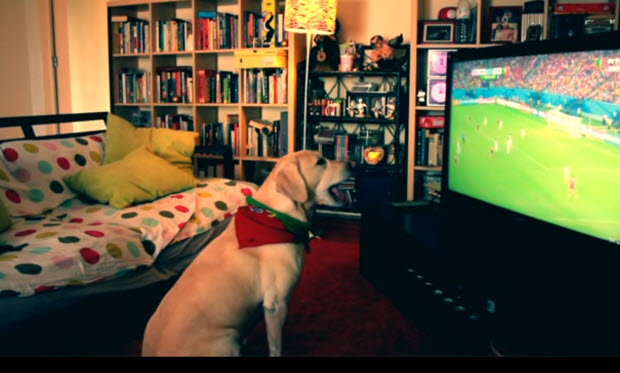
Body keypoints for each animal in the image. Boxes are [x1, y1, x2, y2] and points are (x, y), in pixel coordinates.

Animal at [142, 148, 354, 354]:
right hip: (227, 340)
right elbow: (276, 346)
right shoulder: (276, 305)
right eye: (321, 162)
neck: (277, 216)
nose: (352, 162)